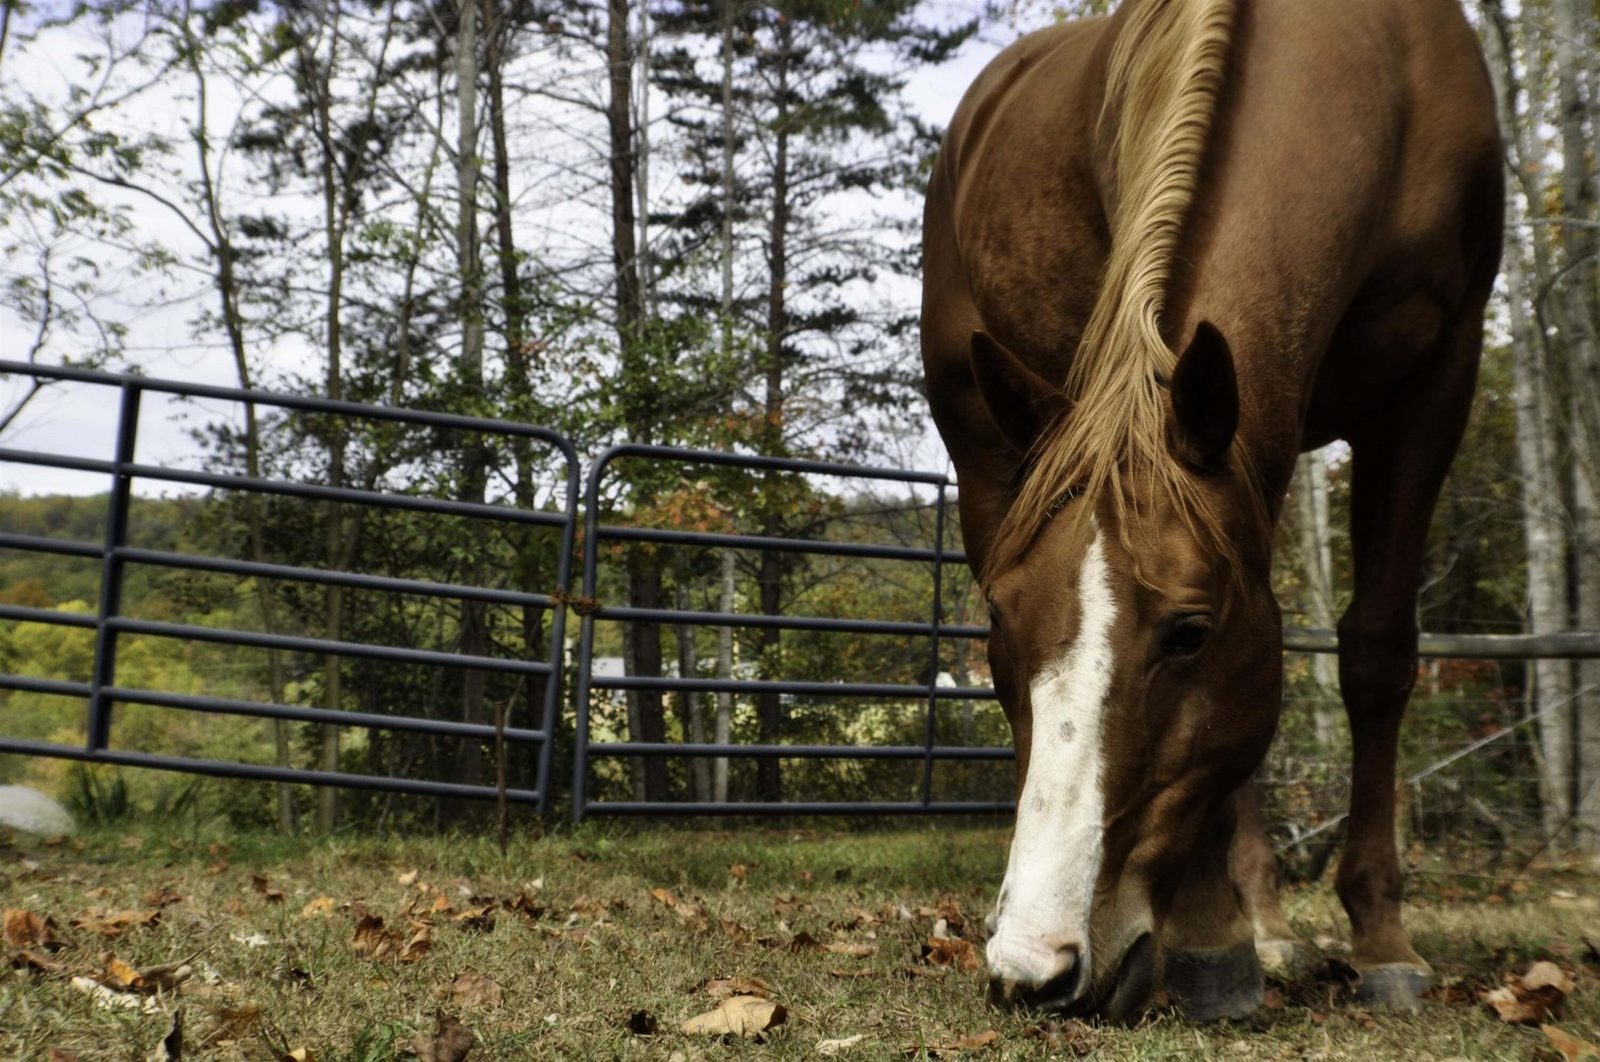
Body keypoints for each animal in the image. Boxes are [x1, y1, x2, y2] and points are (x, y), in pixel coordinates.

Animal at [921, 0, 1502, 1022]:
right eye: (999, 622)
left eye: (1191, 632)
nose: (1033, 966)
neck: (1368, 66)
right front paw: (1211, 938)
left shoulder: (1440, 379)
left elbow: (1377, 653)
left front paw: (1383, 940)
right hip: (986, 439)